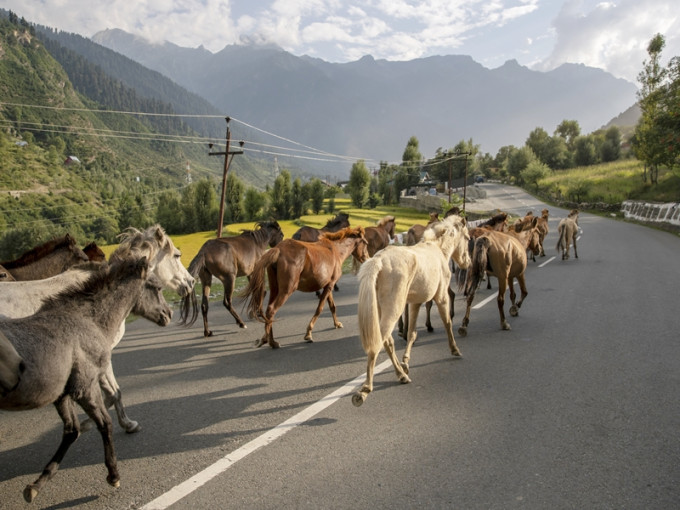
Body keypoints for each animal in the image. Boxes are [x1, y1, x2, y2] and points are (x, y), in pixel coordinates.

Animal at [0, 225, 194, 432]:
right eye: (176, 255)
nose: (191, 282)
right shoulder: (101, 357)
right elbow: (114, 392)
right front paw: (123, 423)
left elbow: (108, 393)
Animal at [242, 226, 370, 348]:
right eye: (366, 243)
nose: (367, 259)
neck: (335, 250)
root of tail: (278, 249)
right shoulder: (330, 285)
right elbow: (320, 308)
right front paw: (308, 333)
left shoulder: (328, 285)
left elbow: (332, 306)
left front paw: (337, 324)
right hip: (287, 290)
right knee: (271, 309)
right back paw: (272, 342)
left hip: (275, 288)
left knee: (269, 312)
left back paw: (266, 339)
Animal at [350, 214, 472, 406]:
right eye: (467, 238)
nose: (468, 262)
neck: (437, 249)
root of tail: (379, 260)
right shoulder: (441, 298)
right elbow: (447, 323)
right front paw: (455, 350)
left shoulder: (415, 303)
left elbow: (411, 333)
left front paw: (406, 362)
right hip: (394, 309)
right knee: (379, 342)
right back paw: (365, 390)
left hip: (384, 311)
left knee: (388, 341)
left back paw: (402, 375)